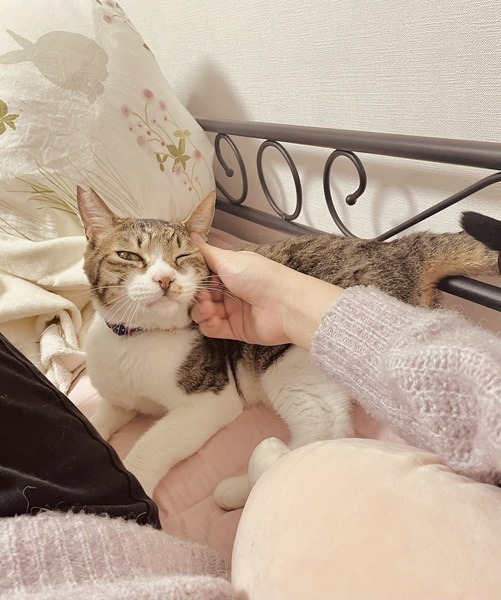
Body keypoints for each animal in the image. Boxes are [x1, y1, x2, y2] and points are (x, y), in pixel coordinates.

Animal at [76, 186, 501, 507]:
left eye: (183, 257)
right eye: (128, 255)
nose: (165, 280)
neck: (135, 339)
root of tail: (396, 251)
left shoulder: (211, 401)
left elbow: (152, 445)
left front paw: (134, 484)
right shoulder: (118, 399)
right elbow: (95, 422)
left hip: (290, 359)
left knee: (324, 431)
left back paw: (246, 483)